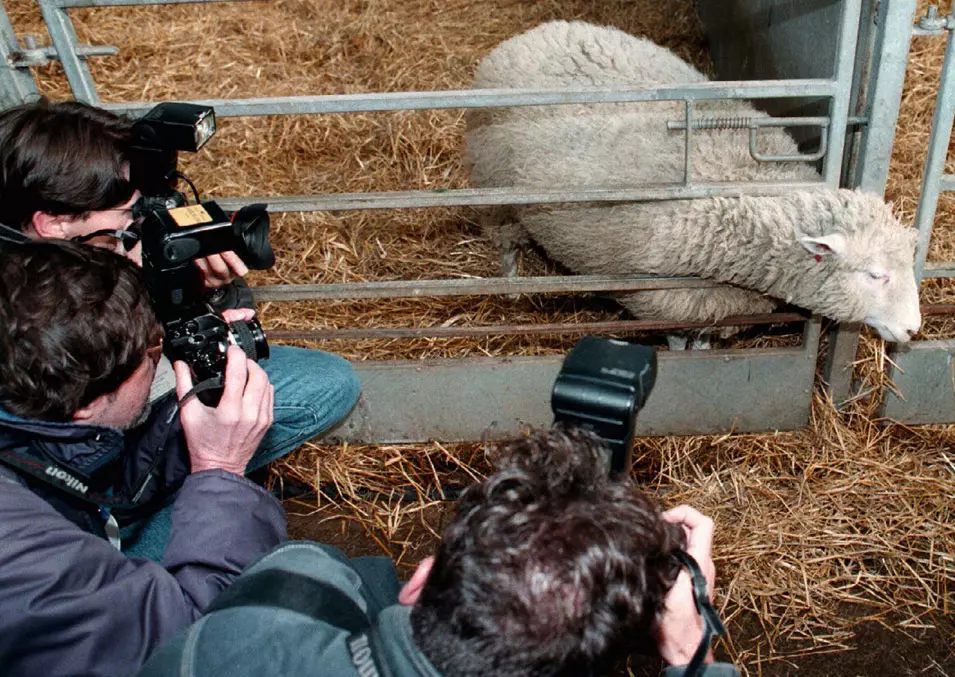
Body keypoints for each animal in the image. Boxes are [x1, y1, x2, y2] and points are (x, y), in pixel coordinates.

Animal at [466, 18, 924, 346]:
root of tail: (531, 34)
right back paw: (512, 288)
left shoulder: (714, 306)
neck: (746, 184)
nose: (913, 330)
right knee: (505, 242)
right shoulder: (666, 299)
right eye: (876, 275)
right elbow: (676, 338)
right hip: (494, 189)